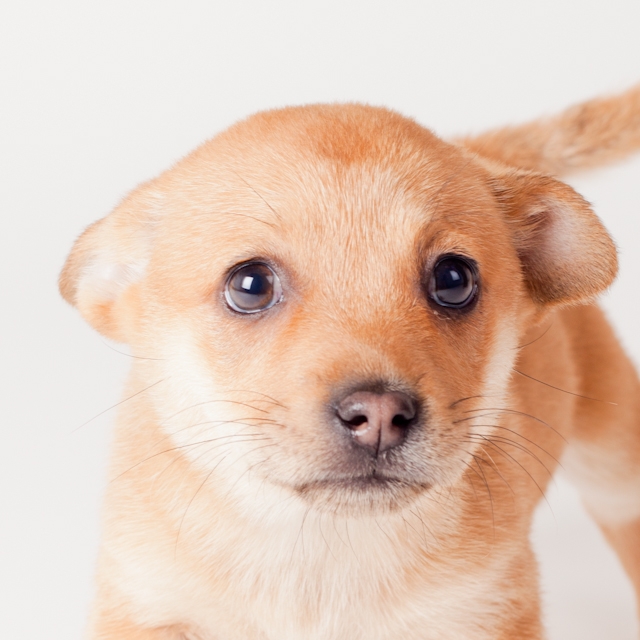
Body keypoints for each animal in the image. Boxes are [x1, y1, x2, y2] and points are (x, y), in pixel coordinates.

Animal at [61, 86, 640, 639]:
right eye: (250, 285)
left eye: (454, 279)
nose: (378, 414)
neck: (320, 545)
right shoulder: (146, 602)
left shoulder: (484, 608)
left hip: (616, 467)